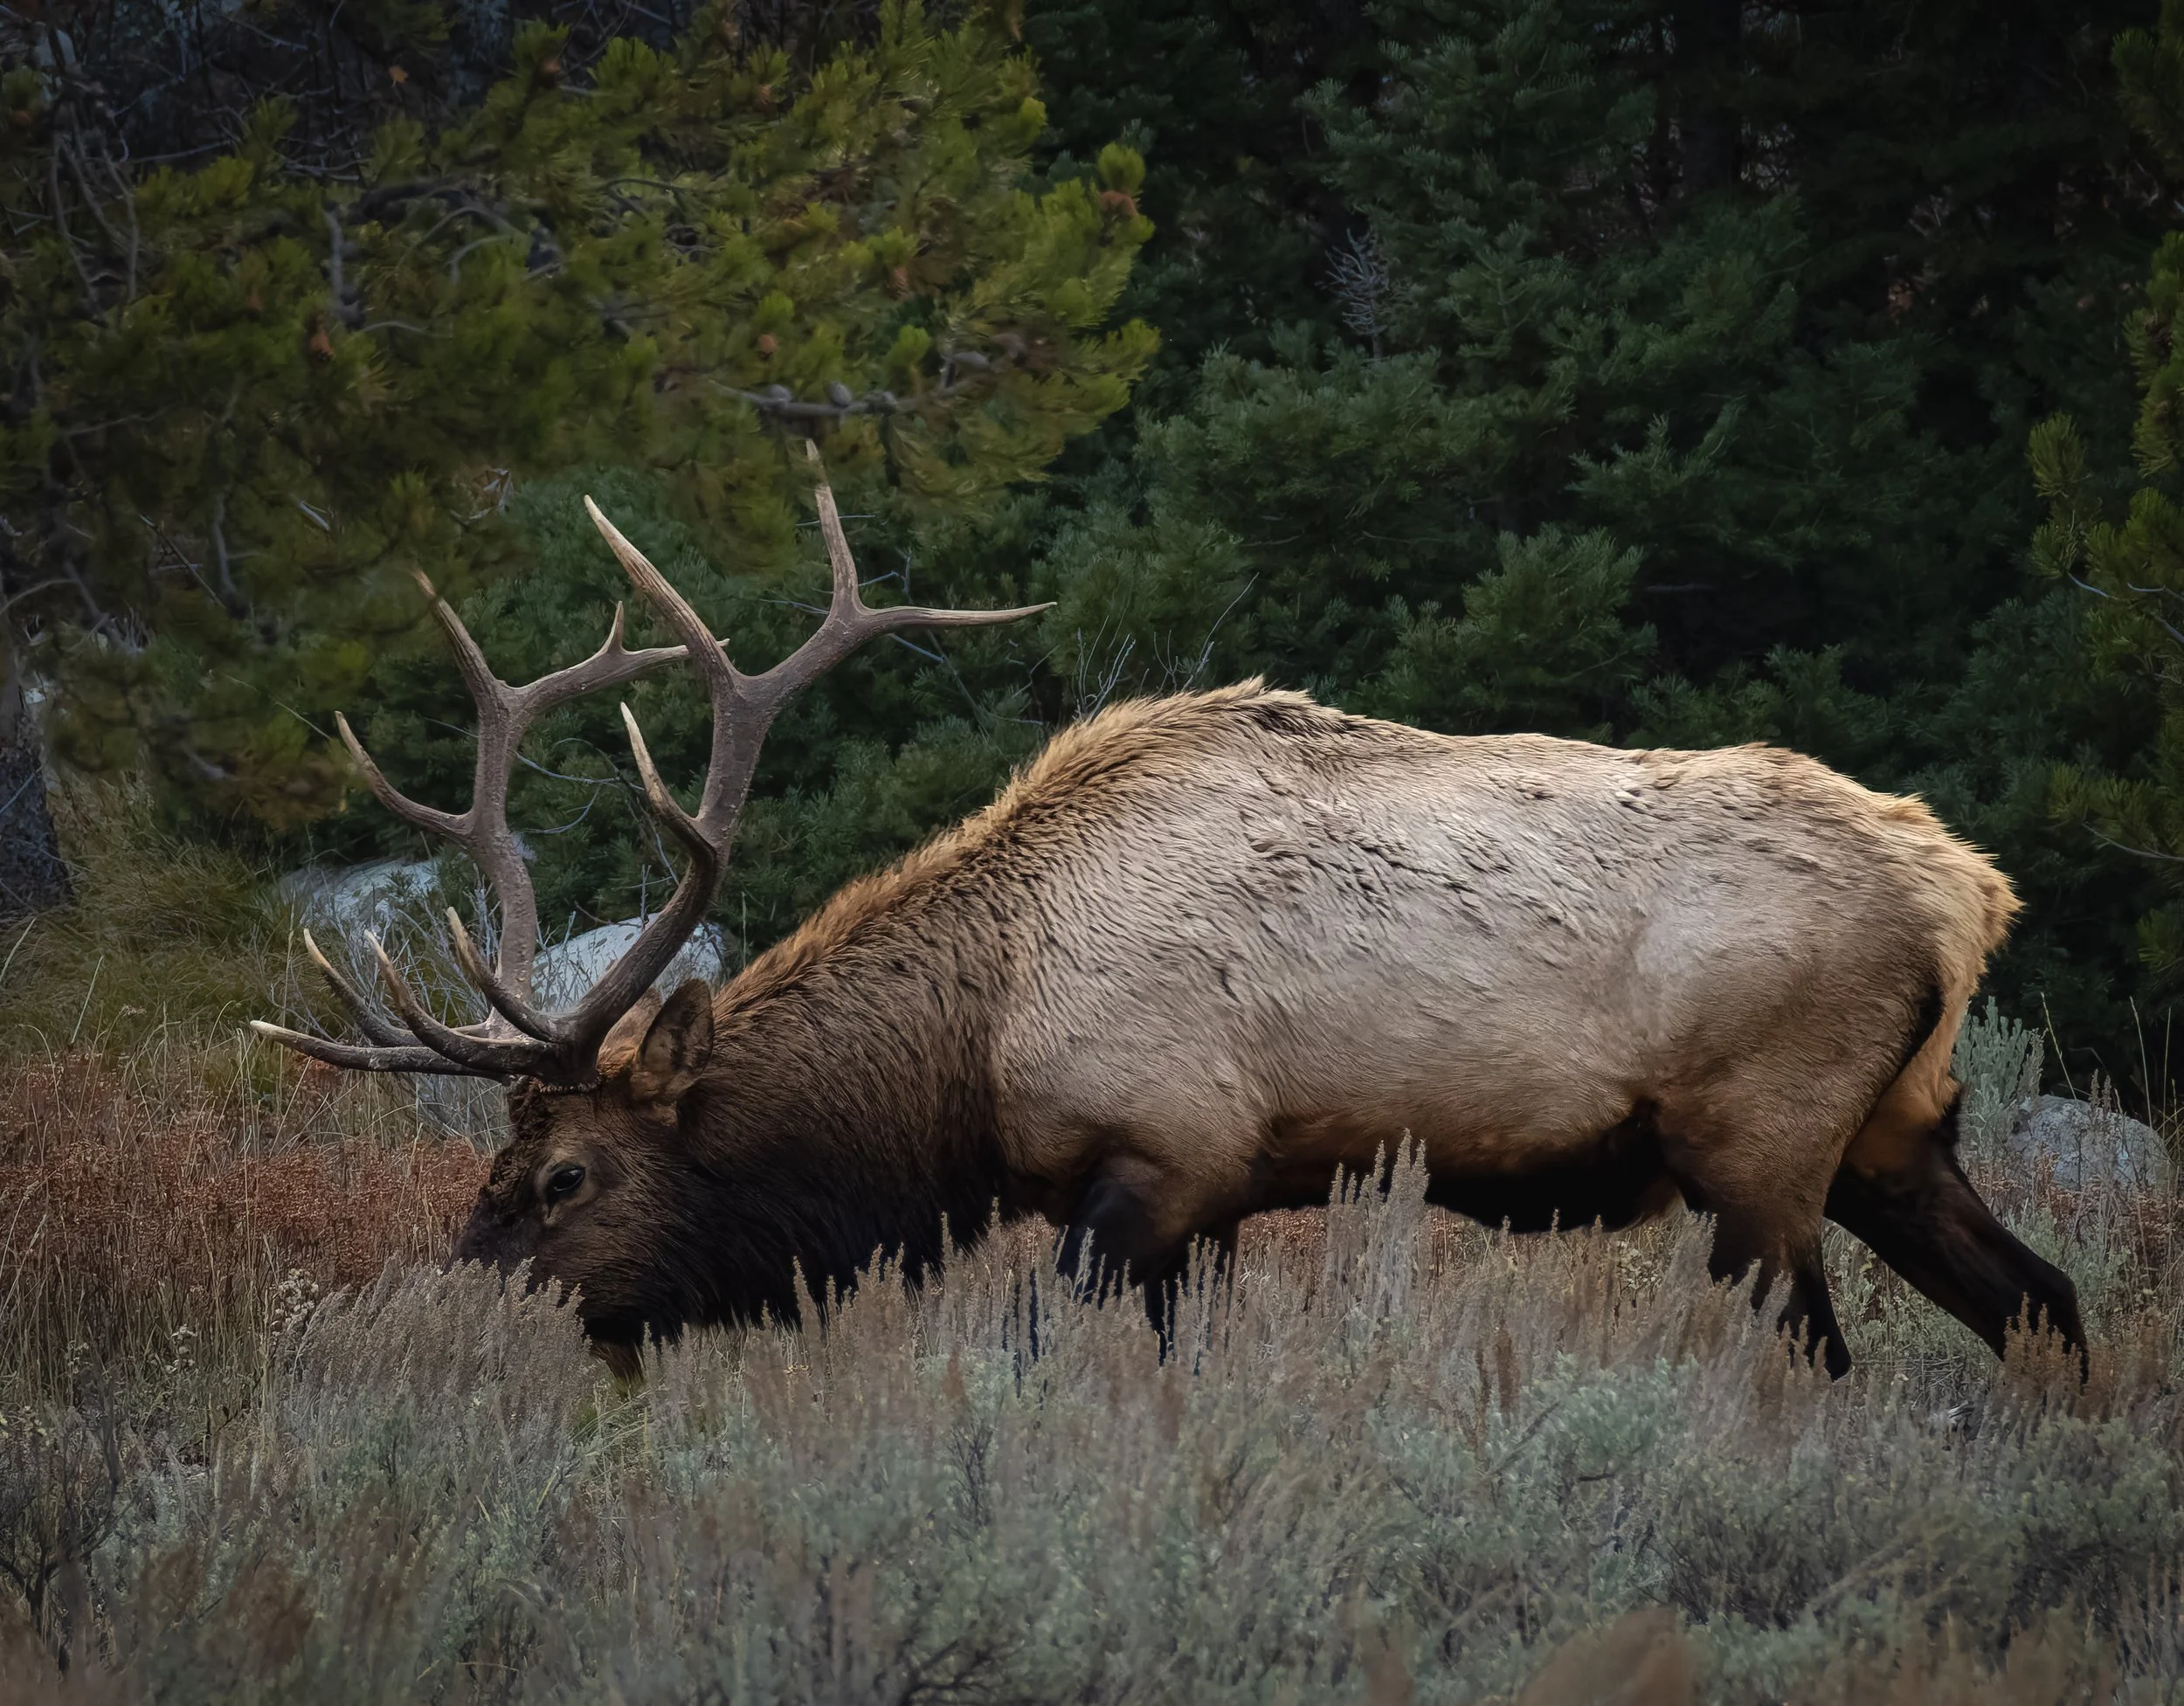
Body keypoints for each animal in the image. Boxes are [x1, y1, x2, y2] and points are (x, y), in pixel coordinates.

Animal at [255, 443, 2085, 1381]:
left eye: (564, 1172)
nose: (453, 1307)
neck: (970, 1058)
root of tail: (1969, 890)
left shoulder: (1159, 1155)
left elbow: (1041, 1358)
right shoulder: (1205, 1204)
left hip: (1759, 1139)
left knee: (1834, 1353)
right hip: (1894, 1130)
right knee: (2047, 1300)